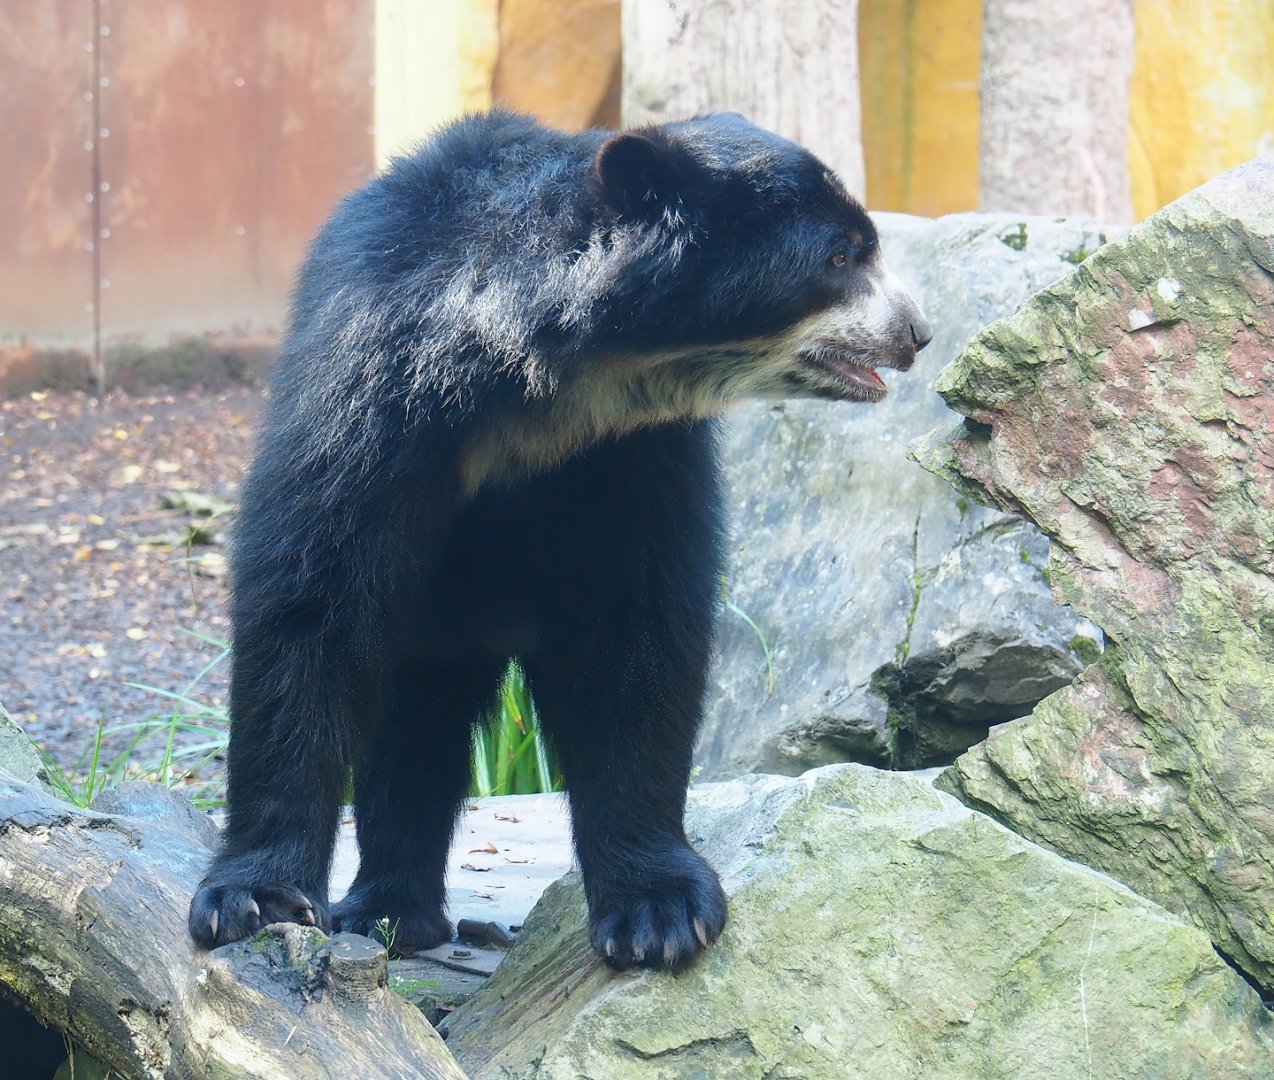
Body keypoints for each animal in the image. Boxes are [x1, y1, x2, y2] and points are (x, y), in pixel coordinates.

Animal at [188, 110, 931, 971]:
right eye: (839, 256)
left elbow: (633, 630)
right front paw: (254, 900)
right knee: (412, 720)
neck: (543, 381)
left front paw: (658, 914)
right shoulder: (369, 388)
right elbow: (310, 601)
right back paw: (386, 910)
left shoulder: (631, 453)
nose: (917, 333)